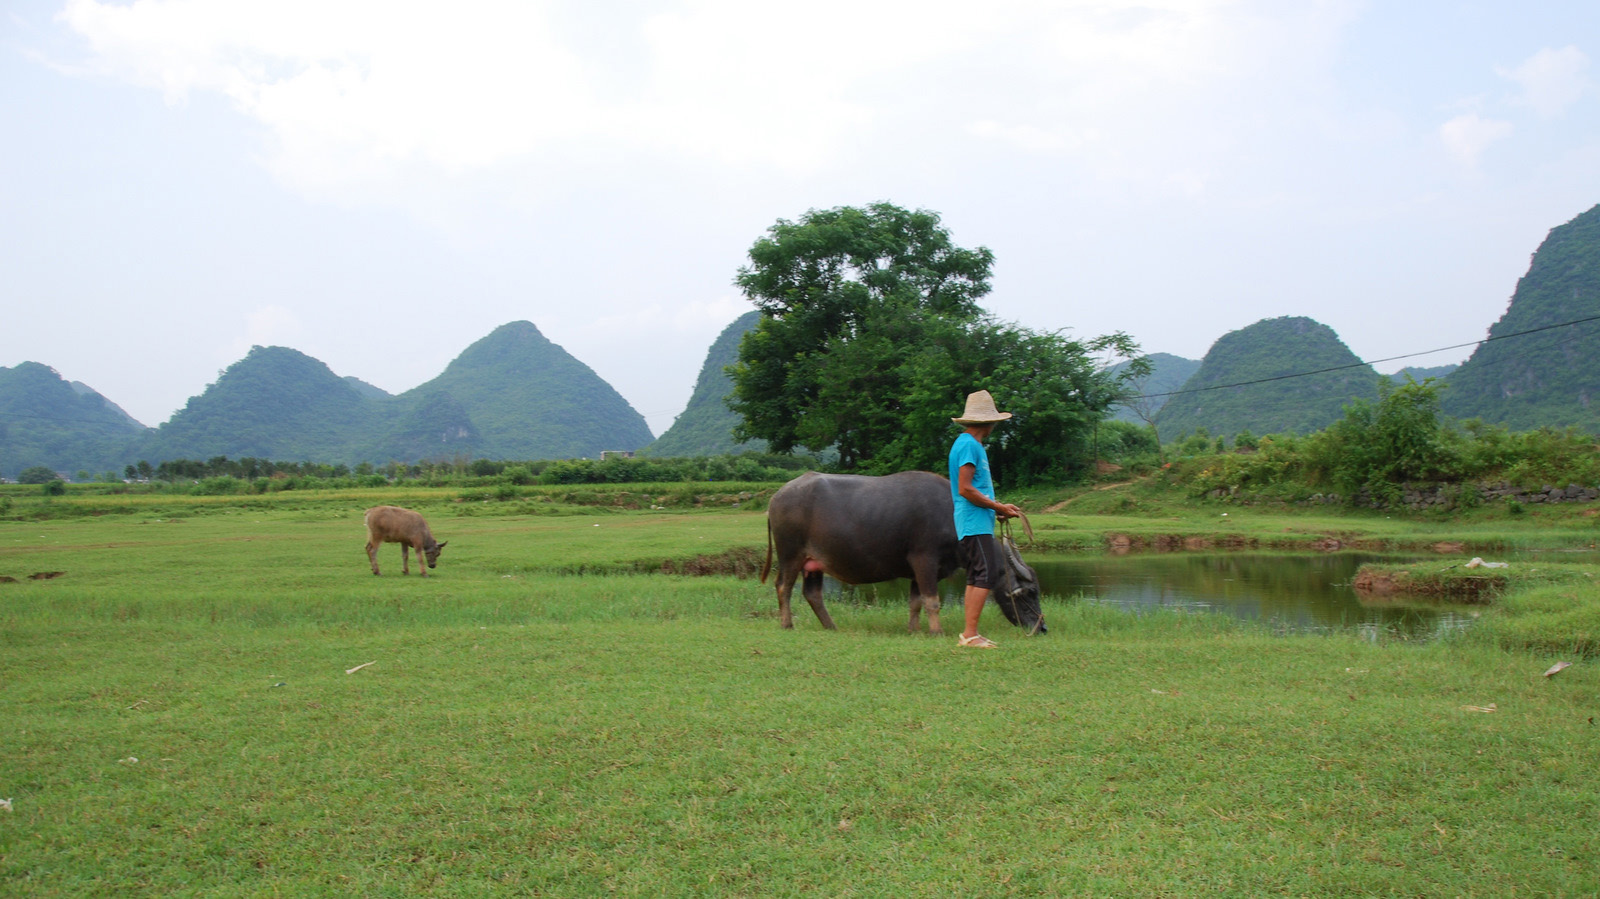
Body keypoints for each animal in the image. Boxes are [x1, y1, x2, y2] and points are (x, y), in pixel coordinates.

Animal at [761, 471, 1045, 635]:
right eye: (1031, 592)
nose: (1041, 627)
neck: (953, 518)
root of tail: (777, 496)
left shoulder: (919, 571)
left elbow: (916, 602)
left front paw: (914, 630)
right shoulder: (925, 561)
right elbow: (932, 601)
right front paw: (937, 631)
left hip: (814, 563)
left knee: (812, 593)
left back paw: (831, 626)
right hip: (791, 556)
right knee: (783, 587)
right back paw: (787, 624)